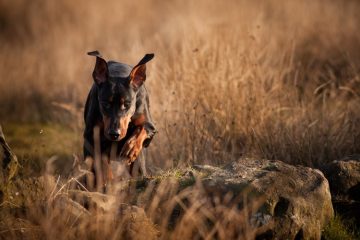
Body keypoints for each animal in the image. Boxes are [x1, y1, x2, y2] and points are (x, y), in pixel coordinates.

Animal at [84, 49, 158, 187]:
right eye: (105, 103)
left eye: (127, 104)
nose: (114, 134)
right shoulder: (91, 136)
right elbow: (100, 159)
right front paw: (106, 179)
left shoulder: (150, 126)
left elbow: (142, 128)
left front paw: (131, 147)